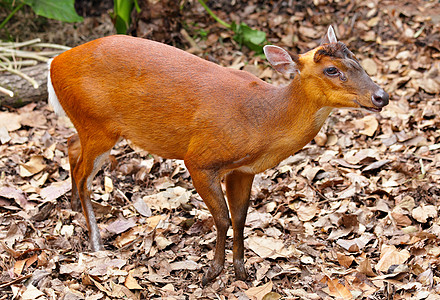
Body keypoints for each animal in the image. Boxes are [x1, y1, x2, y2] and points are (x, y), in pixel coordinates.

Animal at [46, 26, 386, 284]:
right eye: (332, 69)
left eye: (356, 60)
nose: (380, 96)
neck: (262, 122)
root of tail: (53, 63)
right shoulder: (199, 159)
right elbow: (221, 217)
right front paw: (212, 272)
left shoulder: (244, 170)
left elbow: (240, 217)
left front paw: (242, 271)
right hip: (98, 123)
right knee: (84, 174)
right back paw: (95, 240)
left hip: (91, 125)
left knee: (71, 144)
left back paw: (74, 207)